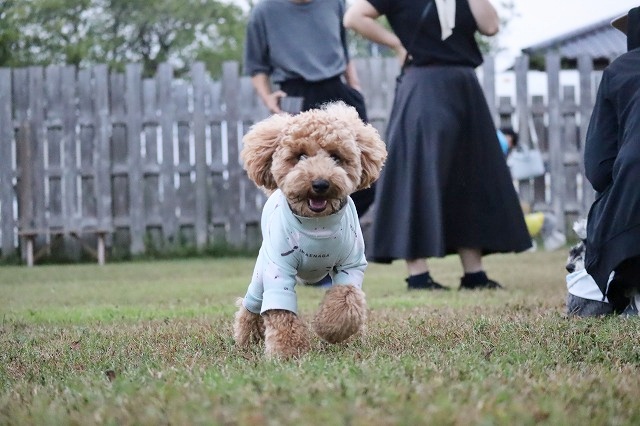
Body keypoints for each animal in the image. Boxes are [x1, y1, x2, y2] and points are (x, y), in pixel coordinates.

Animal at [233, 102, 387, 358]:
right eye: (300, 156)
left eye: (336, 156)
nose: (320, 184)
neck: (317, 226)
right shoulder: (278, 267)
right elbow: (281, 310)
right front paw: (287, 351)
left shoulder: (351, 264)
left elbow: (347, 298)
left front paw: (331, 330)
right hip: (261, 270)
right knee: (252, 303)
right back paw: (247, 338)